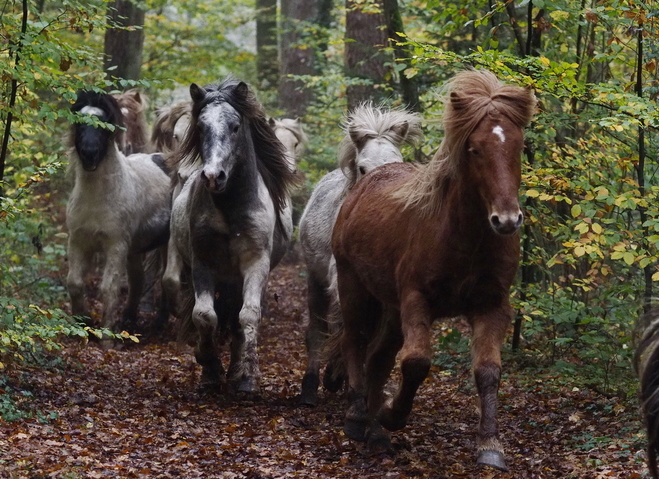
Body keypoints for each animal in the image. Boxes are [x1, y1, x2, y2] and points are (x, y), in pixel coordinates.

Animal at [168, 79, 300, 394]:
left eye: (236, 126)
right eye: (201, 126)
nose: (213, 176)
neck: (230, 209)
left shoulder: (255, 264)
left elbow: (248, 315)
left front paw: (247, 375)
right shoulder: (202, 263)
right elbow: (204, 315)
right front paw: (209, 367)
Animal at [300, 103, 422, 406]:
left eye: (397, 160)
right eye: (362, 167)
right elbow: (351, 329)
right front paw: (336, 377)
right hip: (315, 281)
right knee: (317, 332)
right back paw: (310, 387)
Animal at [330, 69, 536, 470]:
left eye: (519, 148)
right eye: (474, 149)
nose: (506, 220)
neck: (464, 238)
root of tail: (369, 179)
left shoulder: (492, 305)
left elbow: (488, 371)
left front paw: (490, 444)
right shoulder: (416, 300)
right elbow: (416, 363)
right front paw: (393, 415)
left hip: (390, 307)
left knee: (378, 357)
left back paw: (375, 431)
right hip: (354, 287)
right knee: (355, 342)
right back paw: (359, 418)